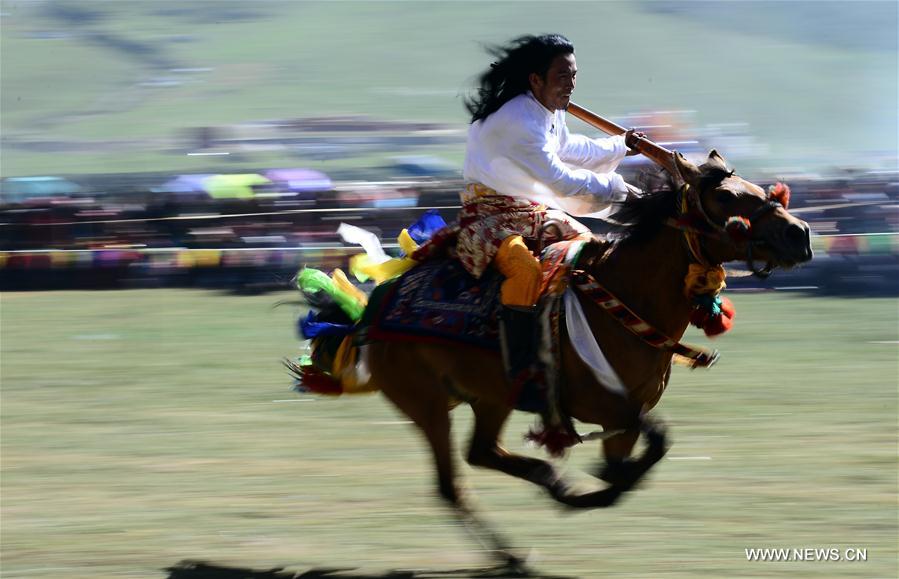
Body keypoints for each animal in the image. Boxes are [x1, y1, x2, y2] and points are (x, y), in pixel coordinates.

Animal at [298, 150, 812, 572]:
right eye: (726, 196)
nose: (800, 234)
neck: (624, 300)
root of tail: (369, 314)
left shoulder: (624, 412)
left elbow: (642, 449)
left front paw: (595, 485)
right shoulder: (598, 403)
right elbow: (654, 440)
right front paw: (596, 490)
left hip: (491, 397)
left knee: (481, 452)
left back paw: (548, 492)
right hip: (425, 402)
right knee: (452, 483)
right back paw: (519, 545)